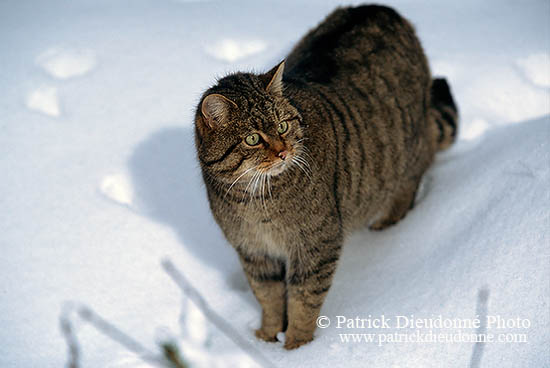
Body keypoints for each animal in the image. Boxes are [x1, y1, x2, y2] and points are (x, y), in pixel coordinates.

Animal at [196, 4, 460, 350]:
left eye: (282, 126)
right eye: (252, 139)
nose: (283, 152)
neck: (253, 198)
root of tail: (381, 8)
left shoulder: (316, 244)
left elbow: (304, 299)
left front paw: (297, 347)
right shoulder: (253, 252)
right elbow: (268, 297)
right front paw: (266, 338)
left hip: (408, 147)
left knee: (413, 173)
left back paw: (388, 221)